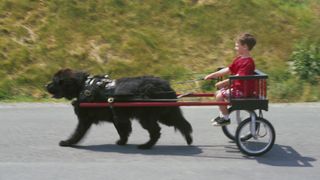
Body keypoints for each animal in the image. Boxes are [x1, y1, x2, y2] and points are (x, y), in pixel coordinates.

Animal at [46, 69, 192, 149]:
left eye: (54, 81)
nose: (45, 85)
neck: (83, 86)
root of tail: (166, 85)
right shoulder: (117, 117)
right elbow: (123, 131)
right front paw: (122, 142)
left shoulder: (85, 119)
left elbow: (78, 132)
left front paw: (68, 142)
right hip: (166, 113)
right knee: (182, 124)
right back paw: (189, 139)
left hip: (147, 116)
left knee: (157, 131)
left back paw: (146, 146)